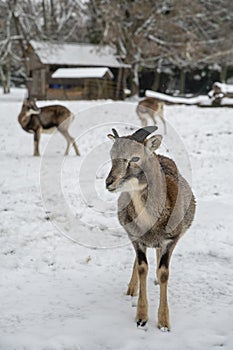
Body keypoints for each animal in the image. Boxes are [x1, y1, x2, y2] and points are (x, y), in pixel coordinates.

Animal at [105, 126, 195, 330]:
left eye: (134, 158)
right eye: (111, 156)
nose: (109, 182)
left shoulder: (171, 240)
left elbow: (163, 273)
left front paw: (164, 323)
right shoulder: (136, 238)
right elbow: (142, 268)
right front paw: (141, 318)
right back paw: (131, 289)